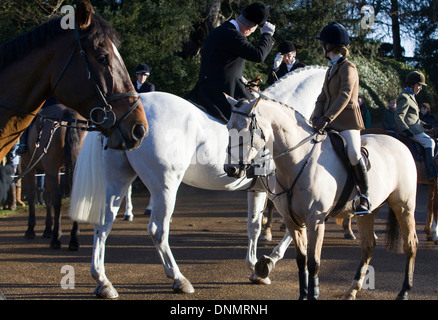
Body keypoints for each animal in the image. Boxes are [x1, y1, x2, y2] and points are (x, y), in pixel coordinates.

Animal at [21, 102, 88, 250]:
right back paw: (73, 239)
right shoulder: (51, 171)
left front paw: (31, 230)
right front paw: (47, 230)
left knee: (57, 200)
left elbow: (33, 196)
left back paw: (56, 239)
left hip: (49, 169)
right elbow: (47, 197)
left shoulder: (29, 168)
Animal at [224, 95, 420, 300]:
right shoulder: (293, 221)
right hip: (368, 212)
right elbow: (301, 260)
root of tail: (400, 144)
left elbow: (314, 263)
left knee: (410, 244)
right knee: (369, 245)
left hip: (404, 206)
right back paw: (353, 289)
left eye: (245, 131)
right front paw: (303, 295)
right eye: (228, 128)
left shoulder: (315, 220)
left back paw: (404, 291)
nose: (231, 169)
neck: (298, 160)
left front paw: (312, 294)